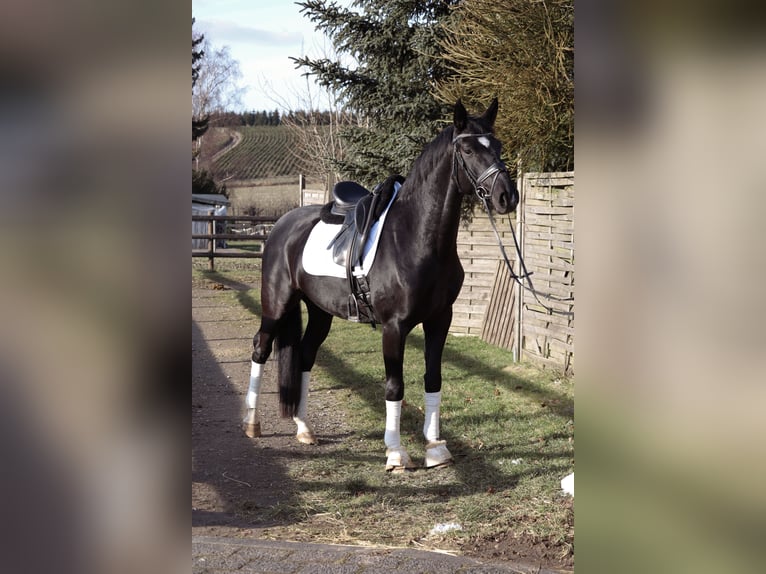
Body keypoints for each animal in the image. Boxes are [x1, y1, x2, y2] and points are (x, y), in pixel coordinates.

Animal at [242, 99, 518, 471]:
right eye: (468, 149)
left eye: (498, 146)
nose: (507, 196)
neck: (416, 239)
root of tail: (282, 225)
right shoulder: (394, 327)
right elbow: (394, 387)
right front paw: (396, 452)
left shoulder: (440, 321)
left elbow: (433, 379)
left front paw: (435, 449)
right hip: (277, 302)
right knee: (261, 347)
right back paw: (252, 423)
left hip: (320, 312)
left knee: (305, 354)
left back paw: (304, 428)